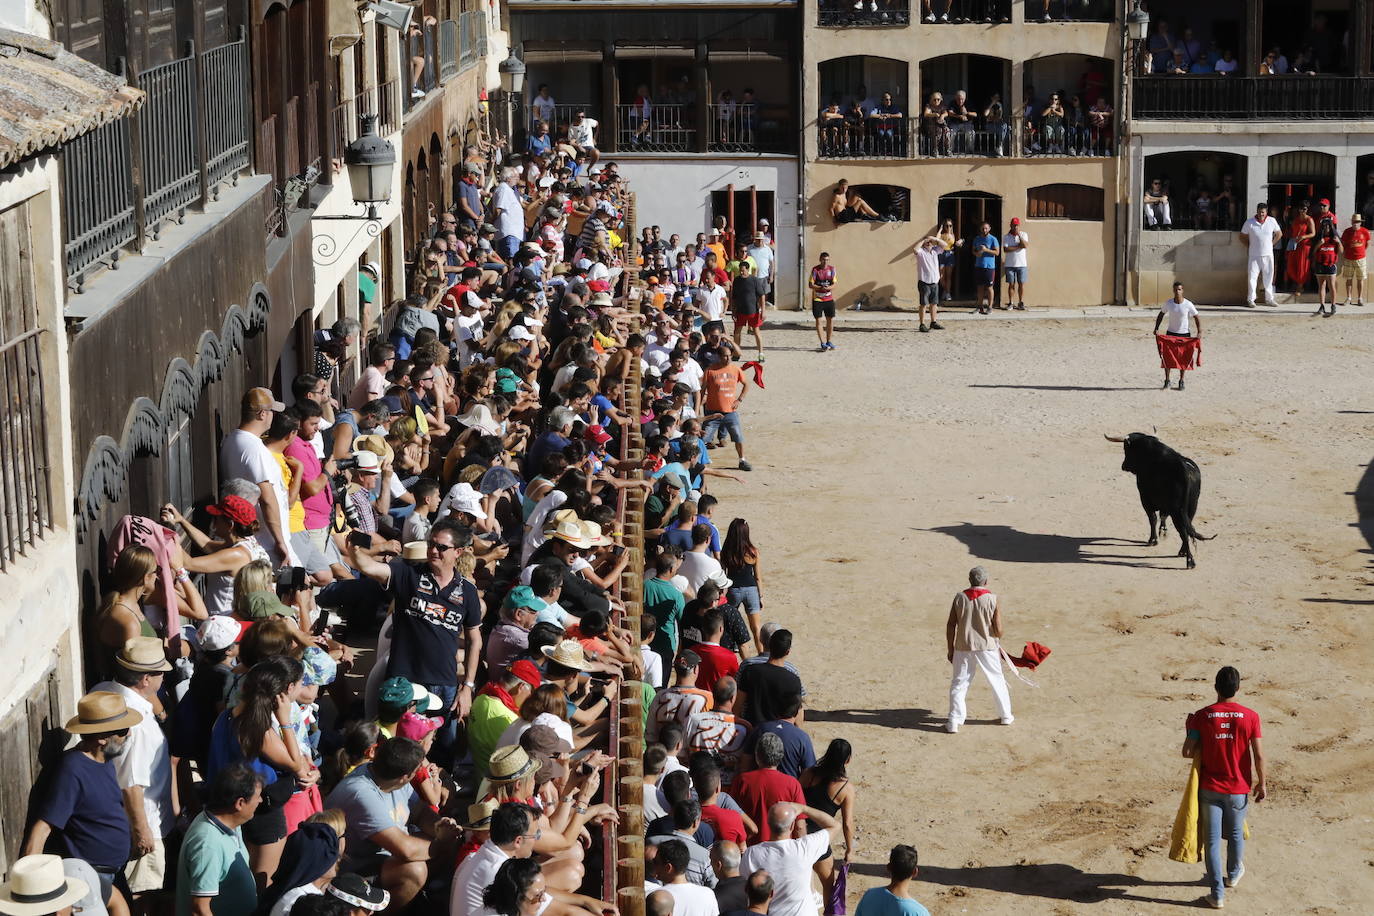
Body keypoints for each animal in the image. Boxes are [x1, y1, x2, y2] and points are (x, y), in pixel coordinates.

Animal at [1104, 431, 1214, 565]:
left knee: (1183, 531)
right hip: (1192, 506)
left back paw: (1189, 561)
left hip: (1177, 510)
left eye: (1126, 448)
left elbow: (1153, 518)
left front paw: (1152, 540)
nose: (1124, 466)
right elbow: (1163, 516)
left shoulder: (1145, 498)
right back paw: (1182, 552)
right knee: (1189, 528)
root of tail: (1184, 469)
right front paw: (1163, 531)